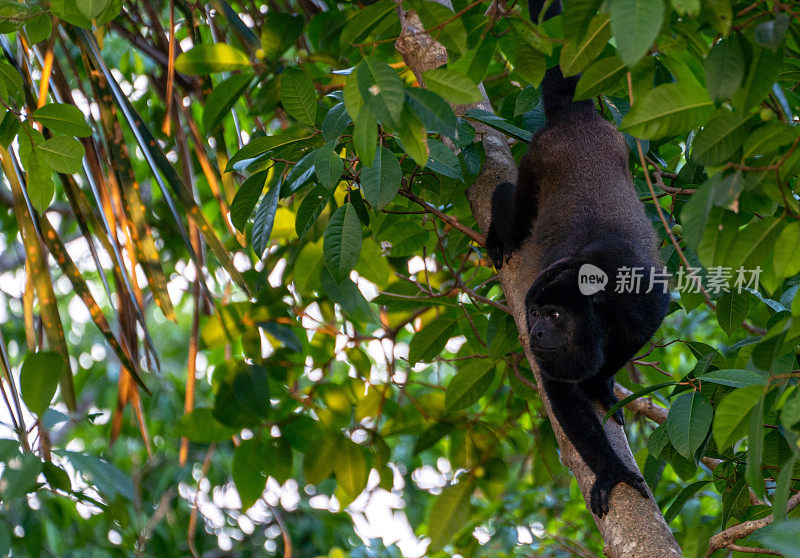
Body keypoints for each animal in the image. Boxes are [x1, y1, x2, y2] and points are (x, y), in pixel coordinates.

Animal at [484, 0, 672, 520]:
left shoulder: (644, 302)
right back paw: (497, 227)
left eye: (553, 315)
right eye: (533, 313)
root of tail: (575, 121)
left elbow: (627, 344)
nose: (535, 333)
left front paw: (600, 385)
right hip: (538, 157)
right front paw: (610, 471)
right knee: (515, 211)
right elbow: (562, 394)